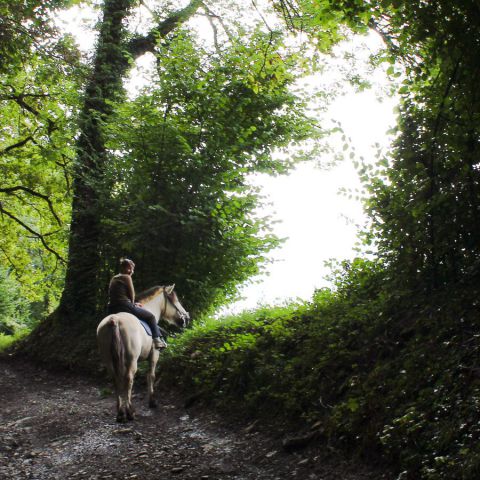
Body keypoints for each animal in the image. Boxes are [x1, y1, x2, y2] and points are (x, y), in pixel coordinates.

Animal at [96, 284, 188, 422]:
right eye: (175, 300)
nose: (186, 318)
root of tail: (114, 320)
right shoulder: (154, 355)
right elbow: (151, 376)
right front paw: (152, 401)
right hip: (131, 360)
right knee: (129, 379)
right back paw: (130, 412)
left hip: (109, 360)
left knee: (115, 380)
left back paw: (120, 413)